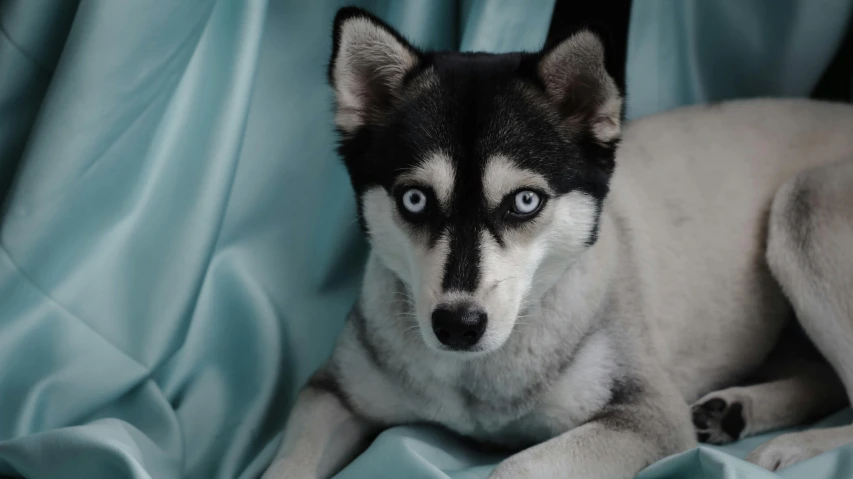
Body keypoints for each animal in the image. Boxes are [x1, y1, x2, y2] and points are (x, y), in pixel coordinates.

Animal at [262, 7, 852, 479]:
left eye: (525, 201)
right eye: (414, 199)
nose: (457, 325)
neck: (480, 370)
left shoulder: (647, 417)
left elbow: (518, 466)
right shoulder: (330, 394)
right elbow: (288, 463)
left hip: (804, 207)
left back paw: (794, 446)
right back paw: (735, 409)